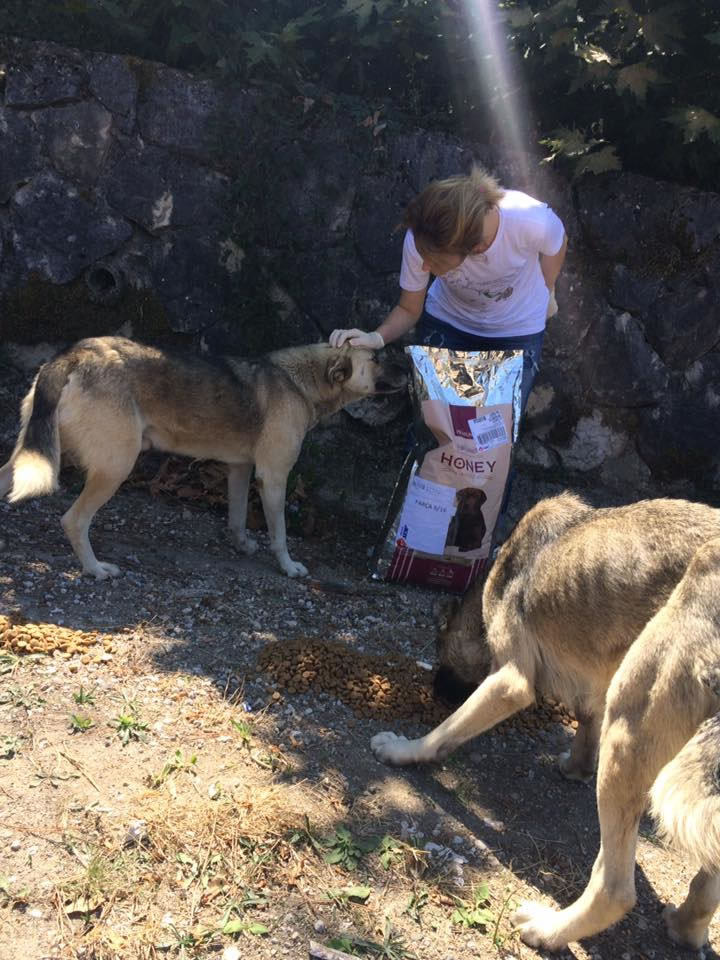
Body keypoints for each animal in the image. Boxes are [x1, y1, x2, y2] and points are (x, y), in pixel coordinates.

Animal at [0, 338, 404, 576]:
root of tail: (77, 352)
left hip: (31, 453)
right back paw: (95, 568)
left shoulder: (240, 470)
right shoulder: (273, 478)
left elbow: (237, 519)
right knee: (74, 520)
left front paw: (242, 545)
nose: (408, 367)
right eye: (377, 357)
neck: (300, 381)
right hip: (116, 466)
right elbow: (280, 535)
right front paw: (289, 566)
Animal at [372, 496, 720, 952]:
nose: (436, 691)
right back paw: (685, 926)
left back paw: (548, 929)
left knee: (615, 888)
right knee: (707, 884)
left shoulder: (510, 682)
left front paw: (406, 750)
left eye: (439, 646)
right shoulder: (596, 681)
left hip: (629, 723)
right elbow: (586, 724)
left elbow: (445, 731)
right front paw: (575, 767)